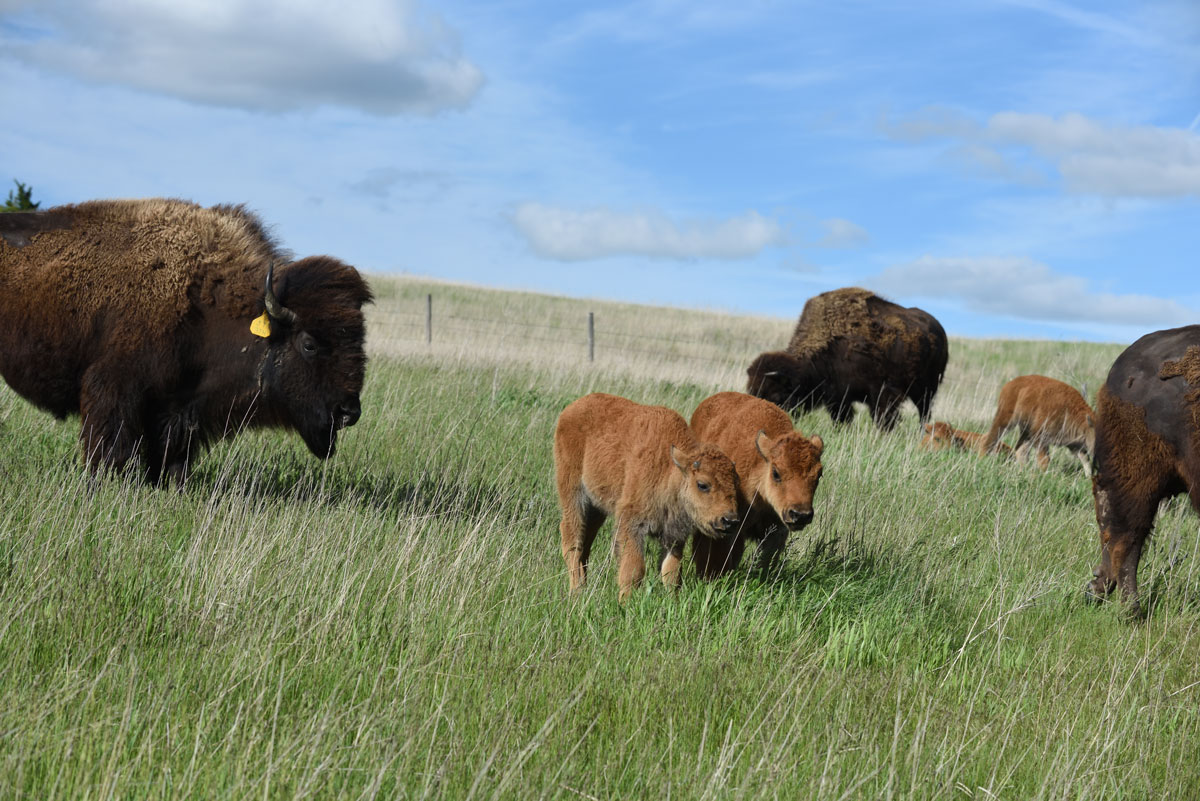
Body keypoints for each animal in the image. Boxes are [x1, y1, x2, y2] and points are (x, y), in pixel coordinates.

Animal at [0, 198, 373, 483]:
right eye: (309, 343)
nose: (348, 412)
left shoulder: (180, 407)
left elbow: (171, 452)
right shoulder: (114, 389)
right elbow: (111, 445)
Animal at [553, 393, 740, 601]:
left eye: (735, 483)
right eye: (703, 485)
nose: (729, 521)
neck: (669, 468)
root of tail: (571, 409)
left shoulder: (673, 536)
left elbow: (671, 572)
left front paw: (672, 602)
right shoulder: (631, 525)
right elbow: (634, 570)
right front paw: (625, 602)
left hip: (596, 507)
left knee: (586, 540)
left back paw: (584, 586)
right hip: (573, 492)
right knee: (572, 537)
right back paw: (576, 591)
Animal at [746, 287, 947, 431]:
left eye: (776, 396)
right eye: (752, 392)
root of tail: (939, 329)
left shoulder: (882, 392)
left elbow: (883, 417)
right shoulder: (838, 396)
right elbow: (842, 417)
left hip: (927, 389)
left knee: (924, 412)